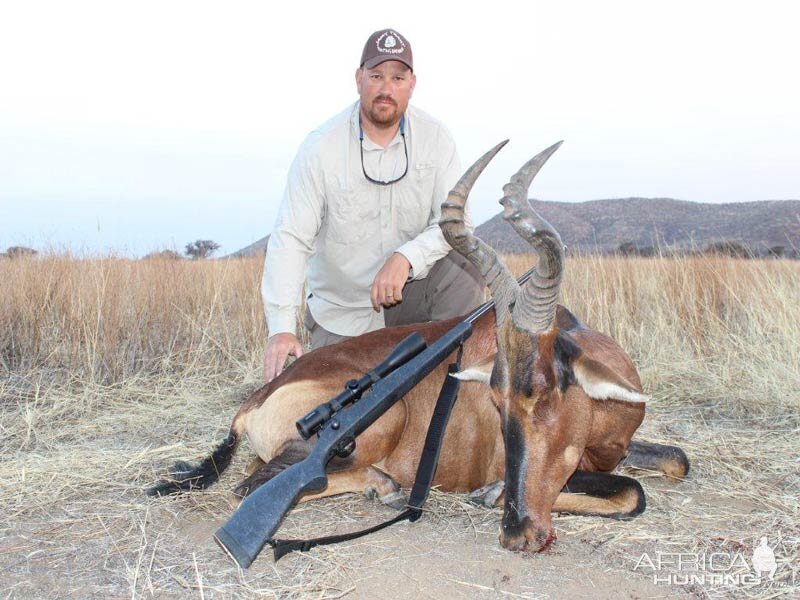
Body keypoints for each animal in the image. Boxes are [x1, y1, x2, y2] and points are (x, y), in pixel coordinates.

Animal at [150, 141, 688, 552]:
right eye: (497, 401)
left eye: (545, 389)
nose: (518, 535)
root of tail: (257, 398)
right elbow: (632, 493)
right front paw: (490, 493)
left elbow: (674, 462)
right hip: (386, 417)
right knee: (253, 485)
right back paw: (382, 487)